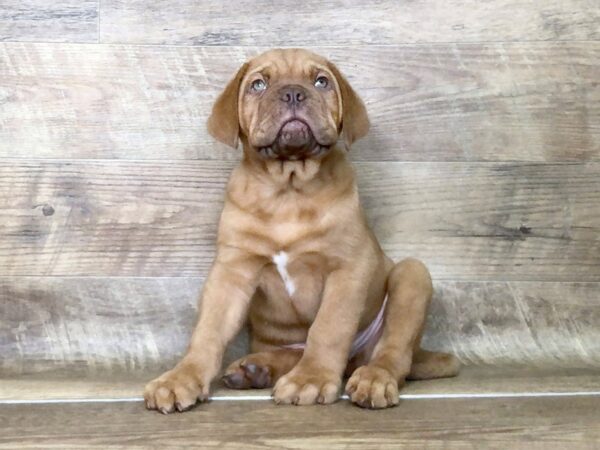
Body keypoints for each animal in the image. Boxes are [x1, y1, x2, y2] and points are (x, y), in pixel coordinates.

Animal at [144, 48, 460, 412]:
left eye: (321, 81)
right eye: (258, 84)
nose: (293, 93)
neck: (289, 189)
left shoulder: (348, 267)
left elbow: (328, 328)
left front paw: (312, 378)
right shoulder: (232, 271)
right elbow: (208, 330)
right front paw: (181, 377)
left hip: (412, 276)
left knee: (392, 353)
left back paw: (373, 379)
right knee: (294, 351)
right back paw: (257, 369)